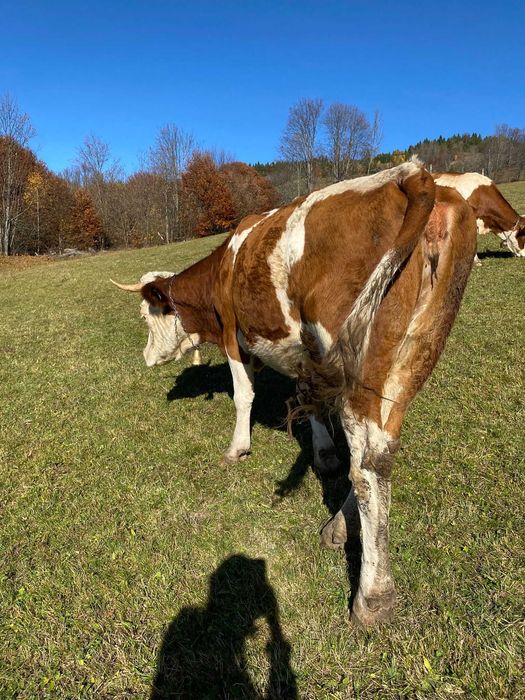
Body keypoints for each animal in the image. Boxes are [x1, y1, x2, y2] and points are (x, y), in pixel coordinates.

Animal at [112, 159, 477, 626]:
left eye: (147, 314)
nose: (146, 357)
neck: (224, 268)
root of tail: (413, 174)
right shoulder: (310, 355)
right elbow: (312, 403)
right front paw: (323, 454)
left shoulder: (234, 334)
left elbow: (244, 396)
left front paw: (238, 448)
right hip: (410, 358)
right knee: (381, 450)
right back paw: (342, 525)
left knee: (368, 465)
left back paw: (373, 595)